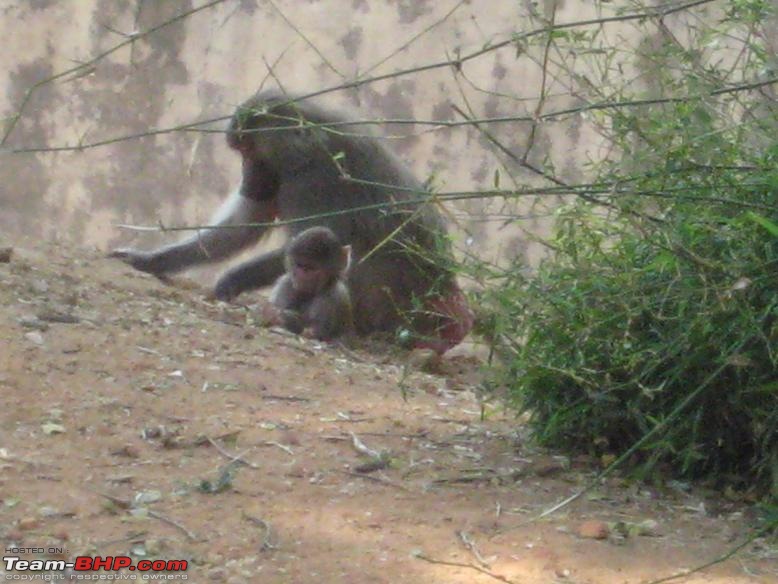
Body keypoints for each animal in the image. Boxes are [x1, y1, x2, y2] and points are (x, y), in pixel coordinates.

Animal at [111, 87, 470, 352]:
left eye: (249, 151)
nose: (246, 182)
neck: (307, 143)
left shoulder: (311, 180)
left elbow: (320, 246)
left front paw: (231, 281)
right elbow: (239, 228)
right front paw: (149, 260)